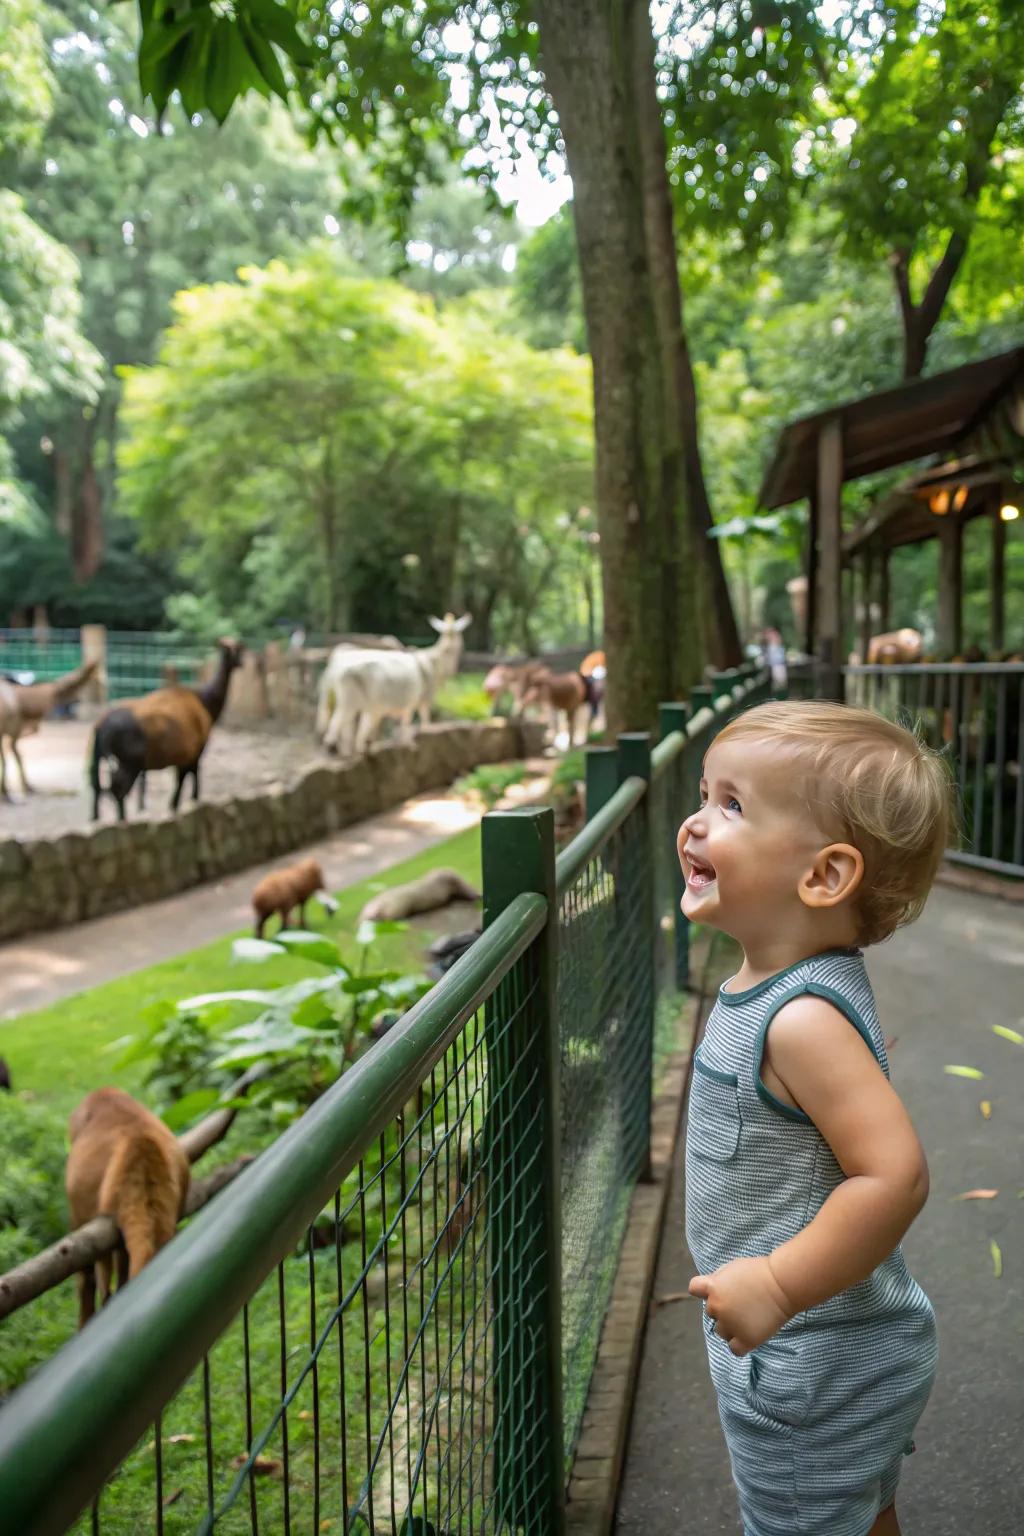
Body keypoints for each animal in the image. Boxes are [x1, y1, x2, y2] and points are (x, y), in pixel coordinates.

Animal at [90, 638, 244, 823]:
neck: (205, 702)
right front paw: (185, 802)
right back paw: (122, 821)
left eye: (239, 649)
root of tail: (102, 727)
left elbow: (184, 778)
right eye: (235, 651)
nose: (241, 663)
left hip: (104, 758)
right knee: (118, 789)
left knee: (99, 786)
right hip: (130, 762)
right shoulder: (196, 749)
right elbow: (188, 778)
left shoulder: (185, 755)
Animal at [316, 611, 472, 755]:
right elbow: (420, 721)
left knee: (346, 726)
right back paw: (337, 750)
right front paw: (410, 745)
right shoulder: (421, 699)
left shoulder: (390, 705)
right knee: (337, 723)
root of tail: (336, 664)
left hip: (347, 699)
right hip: (349, 701)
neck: (435, 660)